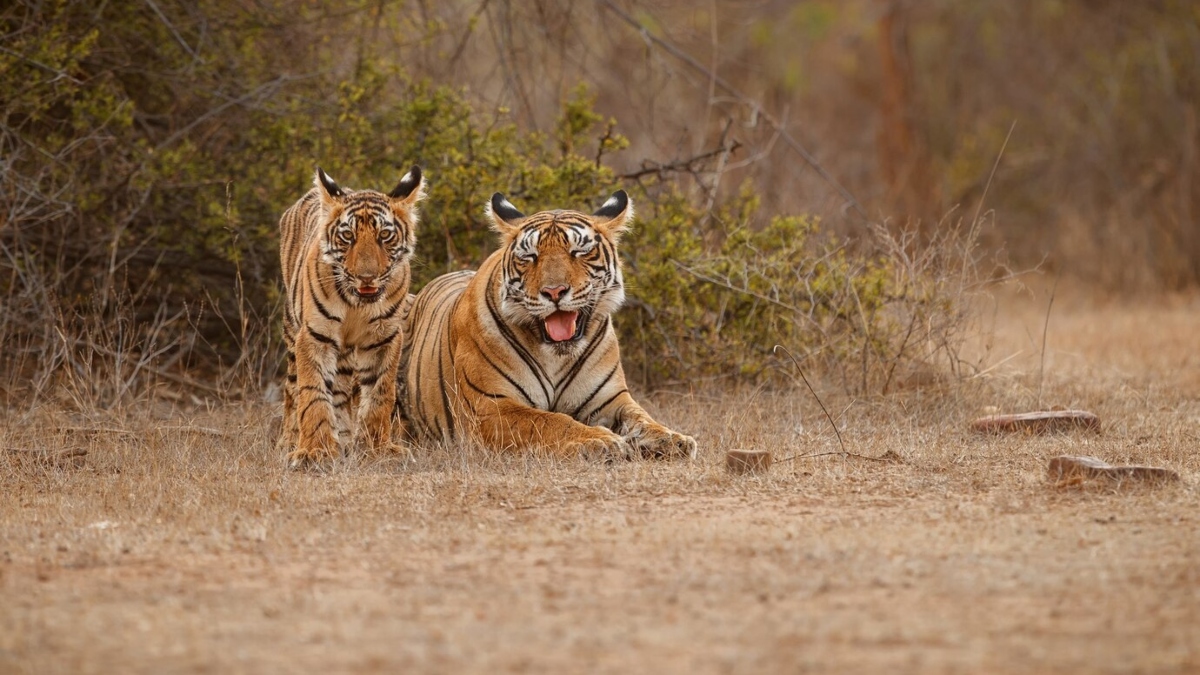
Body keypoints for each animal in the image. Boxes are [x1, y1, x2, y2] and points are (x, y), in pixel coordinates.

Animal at [400, 190, 696, 456]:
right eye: (530, 256)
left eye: (579, 252)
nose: (554, 292)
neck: (556, 355)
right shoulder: (491, 407)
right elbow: (550, 421)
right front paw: (600, 440)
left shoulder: (612, 400)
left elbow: (643, 419)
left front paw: (673, 439)